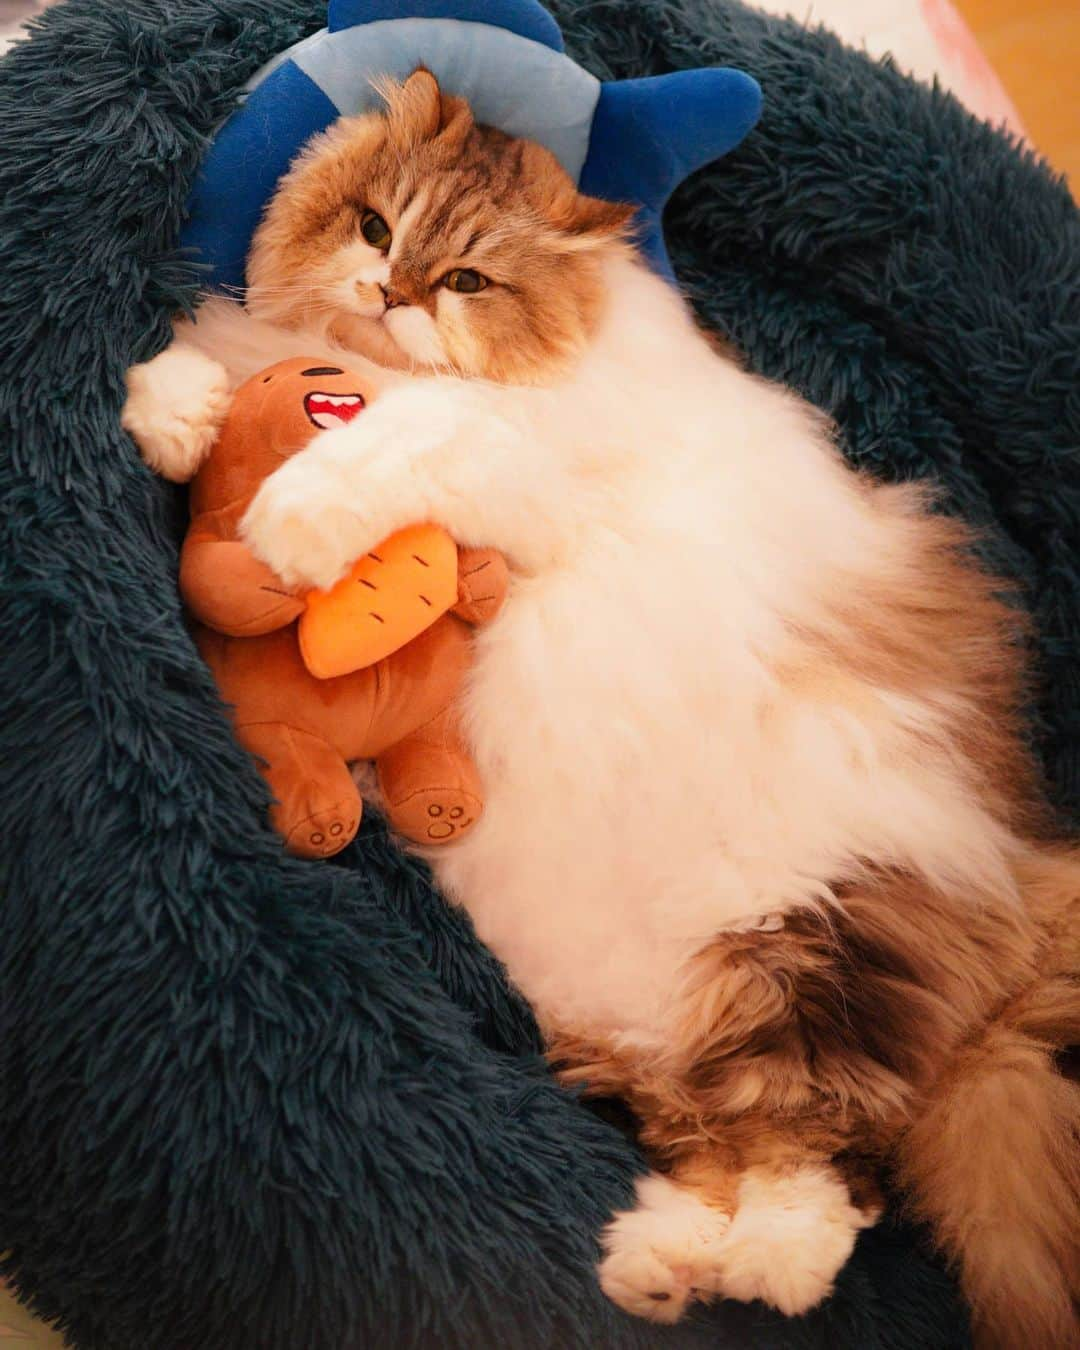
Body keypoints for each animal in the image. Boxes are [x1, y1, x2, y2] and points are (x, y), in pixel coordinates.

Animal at [128, 71, 1080, 1350]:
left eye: (467, 280)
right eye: (375, 229)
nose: (389, 292)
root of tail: (1023, 882)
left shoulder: (508, 459)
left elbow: (396, 441)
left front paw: (293, 519)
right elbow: (205, 371)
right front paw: (169, 417)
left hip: (824, 949)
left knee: (825, 1165)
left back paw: (744, 1268)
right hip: (682, 1018)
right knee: (724, 1146)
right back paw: (656, 1265)